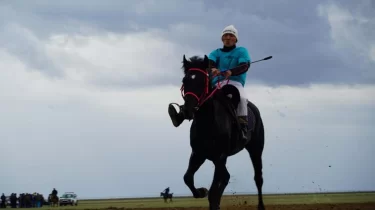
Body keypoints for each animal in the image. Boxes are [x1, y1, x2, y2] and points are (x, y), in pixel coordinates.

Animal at [170, 54, 268, 210]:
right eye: (184, 80)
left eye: (202, 81)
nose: (188, 110)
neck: (208, 123)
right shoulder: (198, 153)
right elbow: (188, 178)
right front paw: (201, 191)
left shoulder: (219, 155)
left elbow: (214, 189)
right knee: (225, 177)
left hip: (255, 149)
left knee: (258, 177)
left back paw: (261, 206)